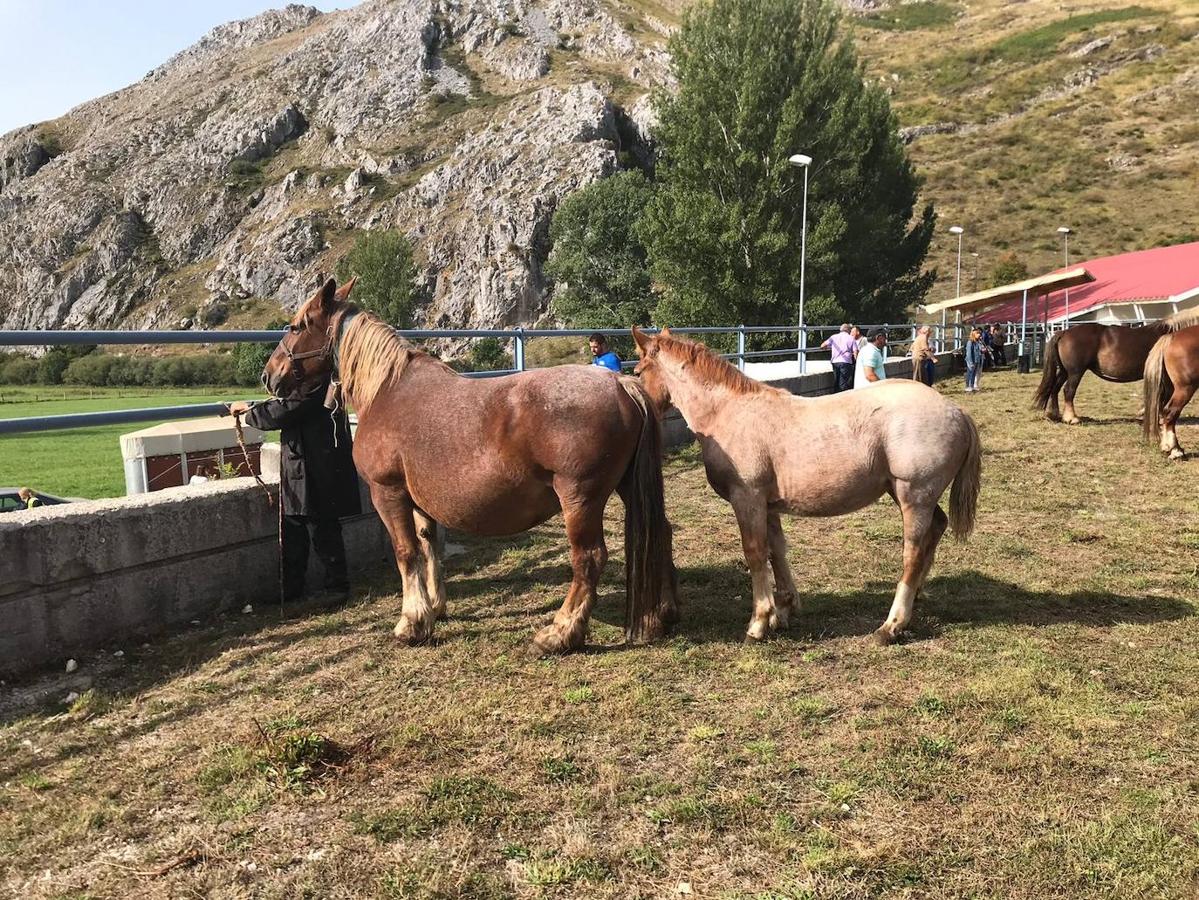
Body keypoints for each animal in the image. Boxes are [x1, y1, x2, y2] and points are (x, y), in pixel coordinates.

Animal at [258, 278, 681, 651]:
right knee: (661, 532)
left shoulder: (388, 492)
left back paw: (559, 634)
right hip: (627, 487)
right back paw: (662, 614)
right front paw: (434, 608)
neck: (388, 390)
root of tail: (621, 384)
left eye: (295, 326)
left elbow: (406, 552)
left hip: (579, 498)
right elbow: (428, 546)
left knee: (589, 558)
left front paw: (411, 623)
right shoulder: (420, 499)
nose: (269, 374)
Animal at [633, 328, 978, 642]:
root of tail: (957, 412)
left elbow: (755, 553)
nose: (644, 410)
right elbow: (776, 551)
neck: (728, 413)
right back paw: (916, 596)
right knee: (937, 528)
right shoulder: (768, 505)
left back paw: (891, 625)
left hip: (913, 496)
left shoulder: (748, 499)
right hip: (904, 493)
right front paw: (782, 611)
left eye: (637, 372)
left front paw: (758, 623)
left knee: (913, 552)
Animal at [1031, 311, 1199, 424]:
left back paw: (1054, 415)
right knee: (1068, 390)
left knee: (1055, 388)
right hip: (1075, 372)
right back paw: (1071, 418)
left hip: (1065, 371)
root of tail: (1064, 332)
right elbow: (1163, 396)